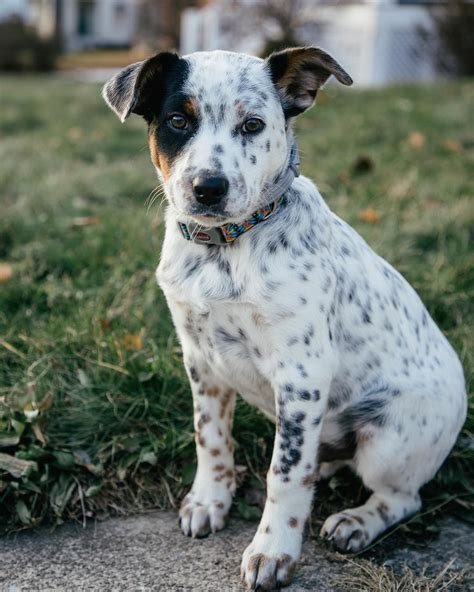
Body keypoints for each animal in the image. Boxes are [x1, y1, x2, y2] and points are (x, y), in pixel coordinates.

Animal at [103, 48, 466, 588]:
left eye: (252, 125)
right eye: (177, 121)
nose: (208, 187)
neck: (225, 248)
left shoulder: (302, 374)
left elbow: (285, 474)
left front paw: (273, 551)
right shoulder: (201, 361)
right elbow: (210, 437)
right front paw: (210, 501)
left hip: (389, 439)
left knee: (401, 496)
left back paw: (355, 522)